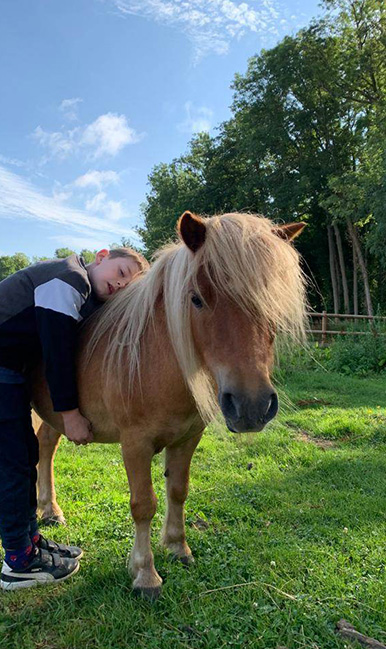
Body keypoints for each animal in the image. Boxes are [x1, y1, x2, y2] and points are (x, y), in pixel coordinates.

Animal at [31, 211, 306, 596]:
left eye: (270, 297)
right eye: (196, 299)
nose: (251, 406)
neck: (153, 363)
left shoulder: (188, 439)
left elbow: (178, 490)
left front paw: (178, 547)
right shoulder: (135, 444)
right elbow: (143, 504)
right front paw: (145, 573)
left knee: (46, 446)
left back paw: (50, 510)